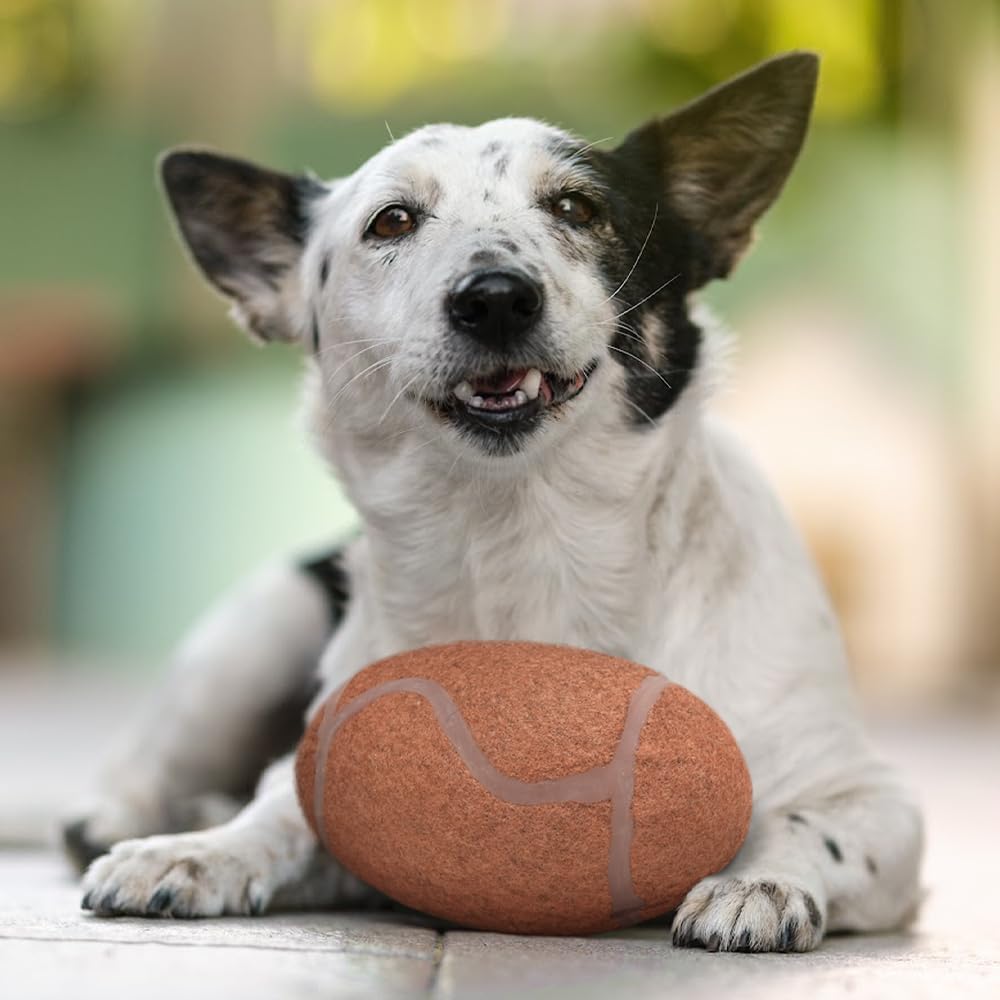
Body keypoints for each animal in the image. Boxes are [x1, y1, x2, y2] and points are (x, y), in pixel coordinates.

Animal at [62, 52, 920, 952]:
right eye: (392, 222)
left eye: (577, 207)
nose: (496, 296)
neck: (523, 545)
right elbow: (281, 811)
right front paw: (200, 852)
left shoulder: (876, 799)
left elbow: (803, 824)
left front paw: (761, 882)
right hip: (254, 633)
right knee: (145, 765)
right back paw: (129, 815)